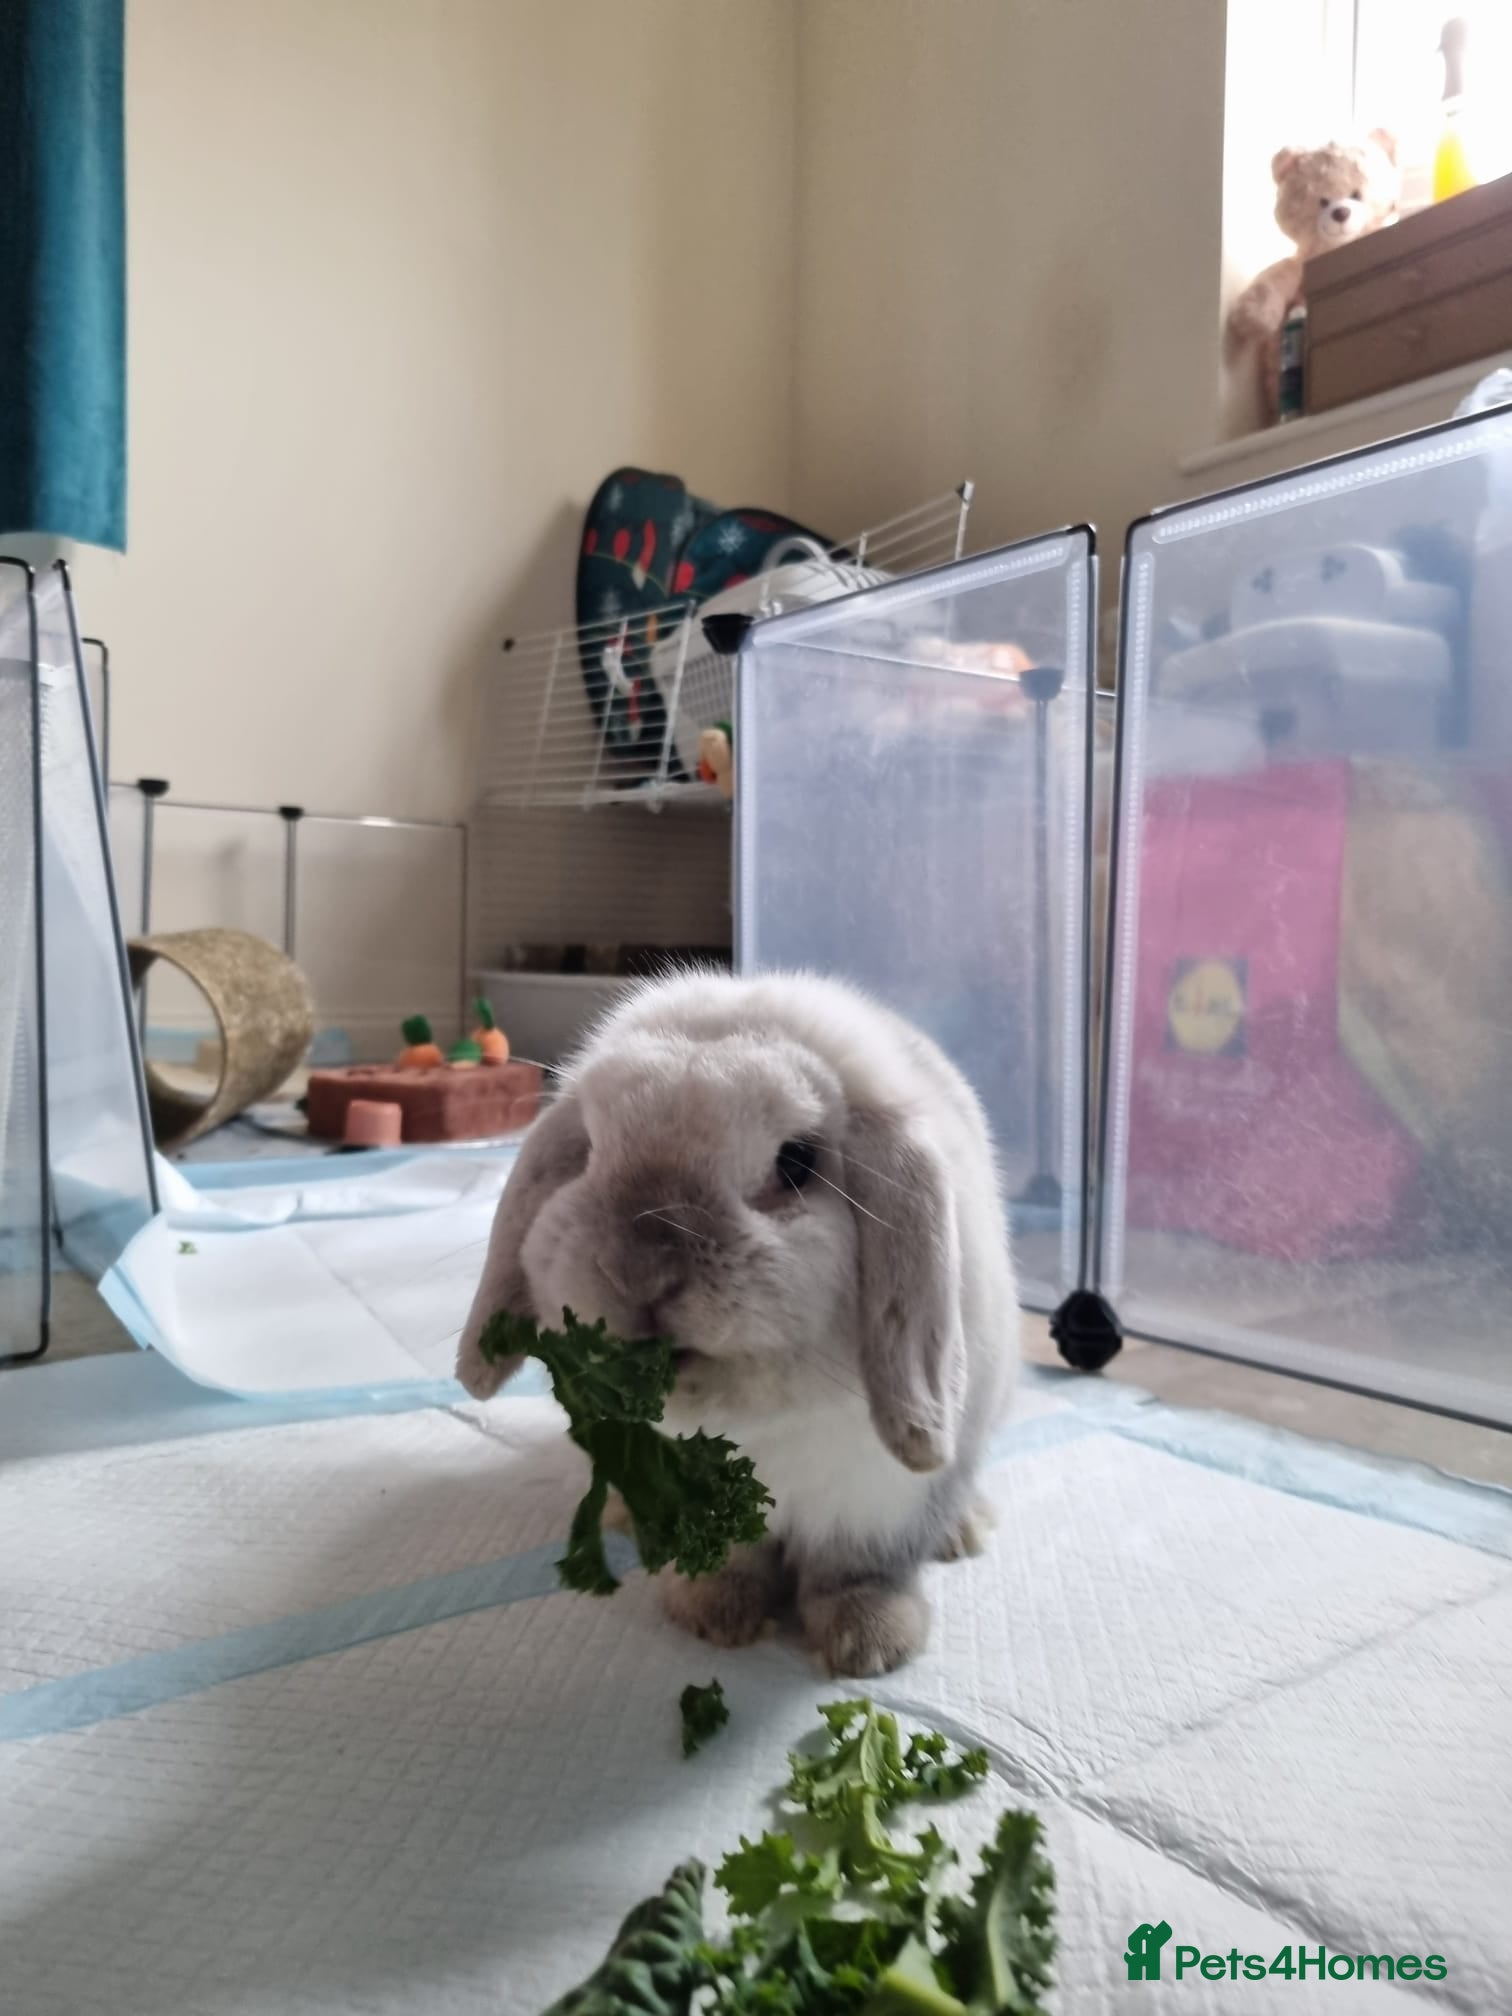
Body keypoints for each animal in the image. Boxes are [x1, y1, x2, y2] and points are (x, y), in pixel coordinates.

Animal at [455, 968, 1020, 1677]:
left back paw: (964, 1532)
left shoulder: (880, 1506)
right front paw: (714, 1616)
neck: (751, 1425)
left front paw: (869, 1645)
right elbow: (728, 1563)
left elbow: (858, 1573)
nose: (639, 1271)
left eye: (797, 1162)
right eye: (587, 1153)